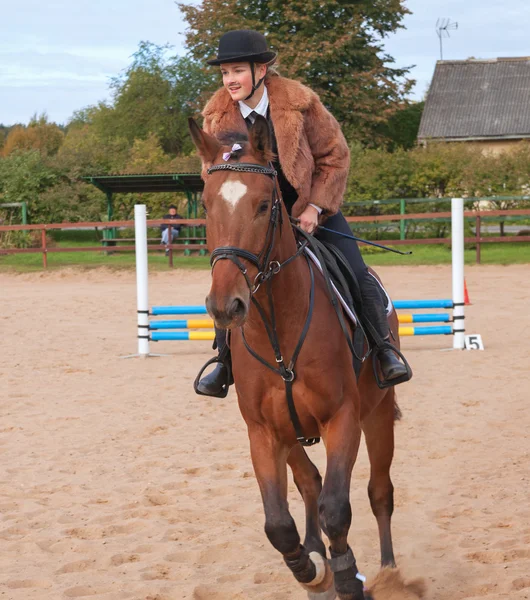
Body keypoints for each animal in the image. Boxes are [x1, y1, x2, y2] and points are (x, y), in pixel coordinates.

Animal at [188, 117, 398, 600]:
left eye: (266, 205)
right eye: (207, 204)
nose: (226, 306)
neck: (278, 331)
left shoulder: (343, 419)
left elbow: (337, 509)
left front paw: (347, 576)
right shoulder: (264, 434)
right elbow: (279, 524)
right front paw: (312, 568)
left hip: (377, 417)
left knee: (379, 492)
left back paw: (389, 572)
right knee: (309, 484)